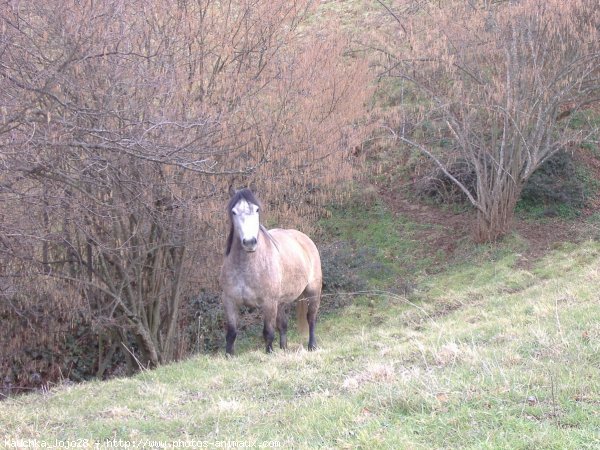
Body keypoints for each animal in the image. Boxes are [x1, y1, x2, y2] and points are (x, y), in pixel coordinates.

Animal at [219, 189, 324, 356]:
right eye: (234, 212)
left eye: (257, 210)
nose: (249, 242)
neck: (246, 267)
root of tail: (304, 238)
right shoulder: (229, 301)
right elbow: (231, 333)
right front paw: (229, 355)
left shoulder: (268, 303)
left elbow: (268, 332)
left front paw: (270, 354)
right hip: (280, 302)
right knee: (283, 325)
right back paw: (284, 349)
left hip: (312, 291)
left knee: (311, 318)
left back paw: (312, 346)